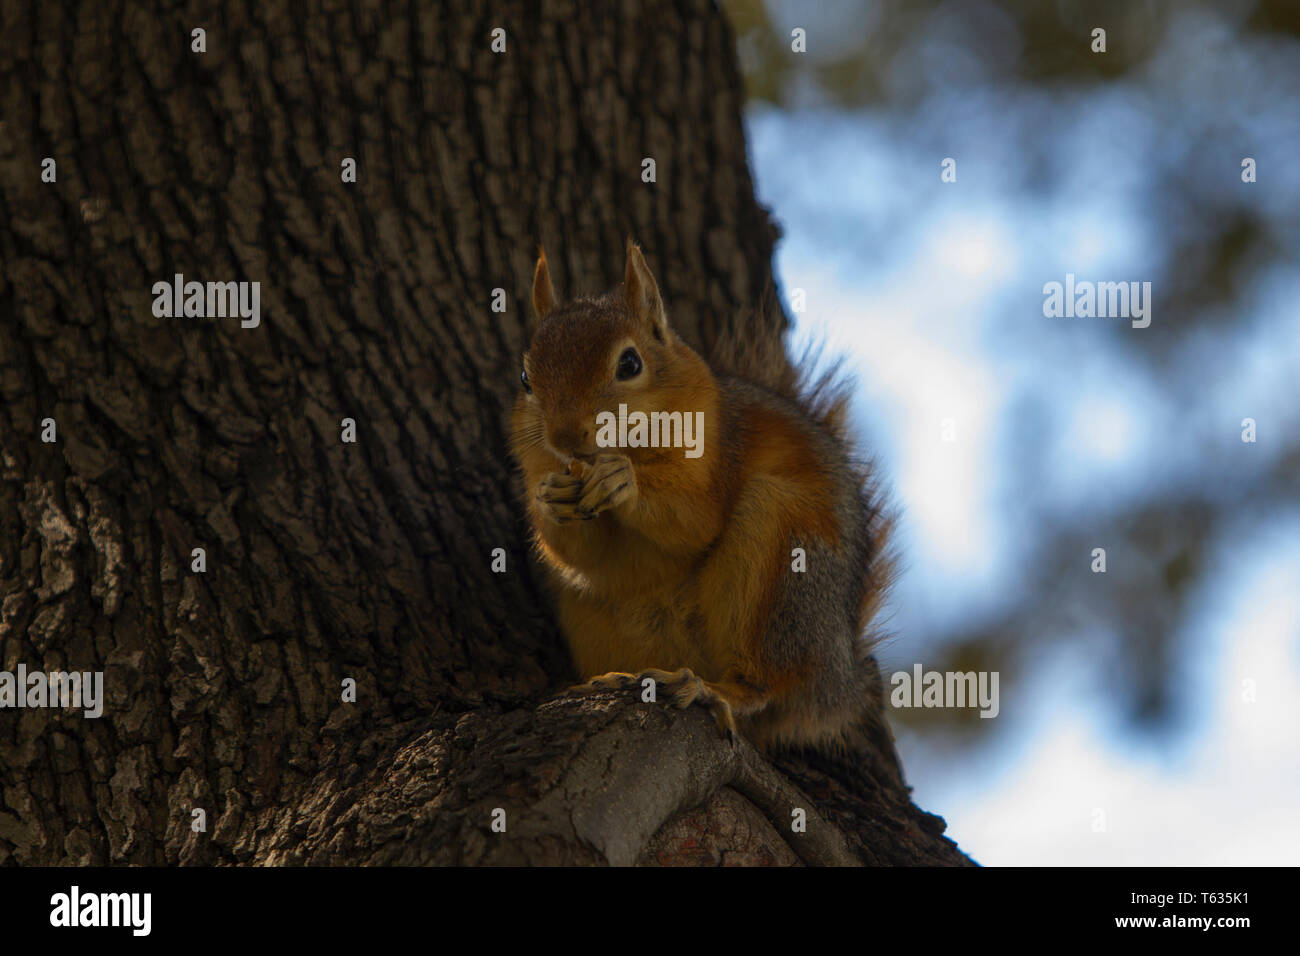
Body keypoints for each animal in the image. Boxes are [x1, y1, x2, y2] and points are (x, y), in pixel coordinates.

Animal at [509, 240, 892, 753]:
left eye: (630, 364)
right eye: (526, 379)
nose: (565, 438)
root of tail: (837, 683)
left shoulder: (716, 461)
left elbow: (695, 522)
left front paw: (622, 479)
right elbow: (582, 558)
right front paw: (551, 499)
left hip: (783, 568)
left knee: (765, 687)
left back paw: (707, 687)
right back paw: (621, 678)